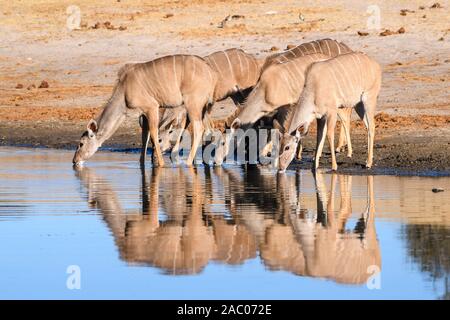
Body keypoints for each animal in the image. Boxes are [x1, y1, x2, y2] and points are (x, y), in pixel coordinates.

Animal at [73, 53, 217, 166]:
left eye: (81, 143)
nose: (75, 160)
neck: (124, 90)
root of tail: (210, 71)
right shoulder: (143, 113)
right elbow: (145, 137)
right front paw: (142, 163)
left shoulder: (152, 107)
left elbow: (154, 134)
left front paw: (161, 163)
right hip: (203, 107)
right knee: (208, 128)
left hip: (192, 104)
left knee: (198, 129)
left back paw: (188, 162)